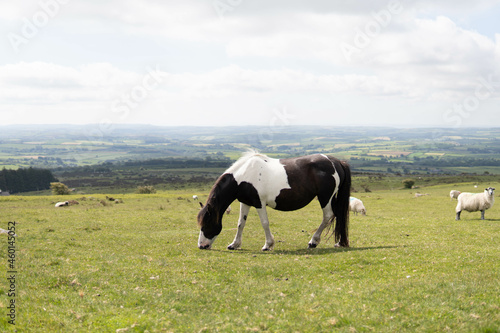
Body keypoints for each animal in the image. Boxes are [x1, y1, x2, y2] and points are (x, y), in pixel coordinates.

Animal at [197, 150, 350, 249]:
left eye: (207, 222)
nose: (201, 246)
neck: (243, 175)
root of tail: (336, 161)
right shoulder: (245, 202)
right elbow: (241, 223)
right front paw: (234, 244)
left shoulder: (259, 203)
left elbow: (264, 223)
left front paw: (268, 245)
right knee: (339, 215)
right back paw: (339, 242)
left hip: (325, 198)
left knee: (328, 216)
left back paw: (313, 242)